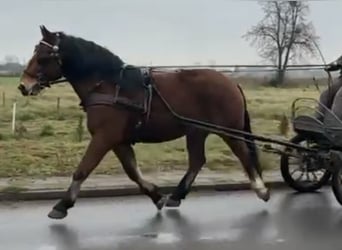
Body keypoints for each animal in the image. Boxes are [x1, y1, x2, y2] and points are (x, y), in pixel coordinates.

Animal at [18, 25, 270, 220]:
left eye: (43, 56)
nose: (23, 85)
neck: (107, 84)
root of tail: (232, 82)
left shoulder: (104, 138)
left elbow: (83, 169)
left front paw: (62, 205)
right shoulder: (118, 141)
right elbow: (132, 172)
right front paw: (156, 196)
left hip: (228, 130)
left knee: (243, 155)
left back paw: (261, 189)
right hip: (197, 131)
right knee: (197, 161)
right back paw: (176, 196)